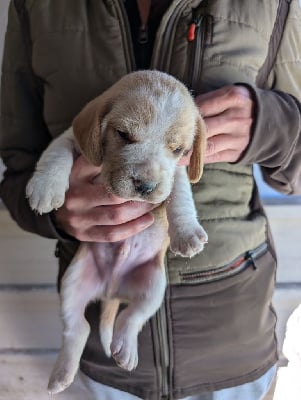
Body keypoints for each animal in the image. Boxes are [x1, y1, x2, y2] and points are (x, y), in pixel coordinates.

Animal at [25, 69, 207, 394]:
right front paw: (46, 187)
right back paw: (61, 376)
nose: (145, 186)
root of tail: (111, 291)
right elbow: (56, 152)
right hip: (71, 282)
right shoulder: (72, 139)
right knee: (78, 329)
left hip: (154, 288)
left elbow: (179, 193)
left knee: (131, 318)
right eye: (124, 135)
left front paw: (186, 232)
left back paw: (125, 349)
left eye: (177, 149)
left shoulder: (176, 171)